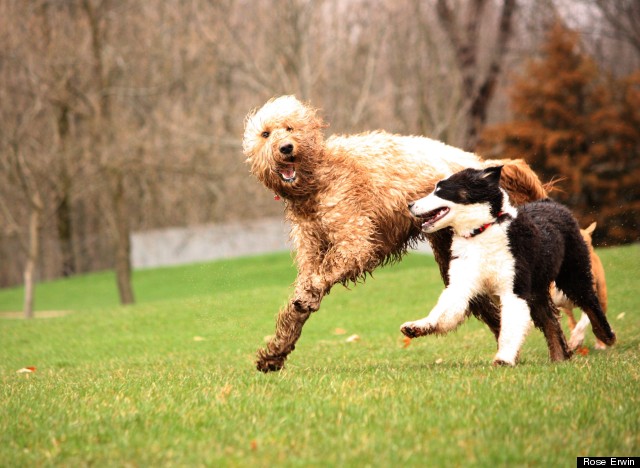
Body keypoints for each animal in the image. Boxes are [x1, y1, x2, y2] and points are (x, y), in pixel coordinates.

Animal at [242, 96, 548, 372]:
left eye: (290, 128)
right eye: (265, 134)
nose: (285, 147)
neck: (318, 177)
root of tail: (475, 162)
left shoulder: (354, 239)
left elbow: (322, 276)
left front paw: (308, 296)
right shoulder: (310, 245)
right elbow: (298, 305)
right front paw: (274, 354)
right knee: (479, 303)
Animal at [400, 165, 616, 366]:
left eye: (440, 190)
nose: (409, 204)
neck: (481, 231)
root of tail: (551, 203)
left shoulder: (514, 289)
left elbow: (510, 326)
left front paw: (503, 358)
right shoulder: (461, 284)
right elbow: (443, 311)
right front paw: (418, 327)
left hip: (573, 273)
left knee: (590, 304)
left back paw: (606, 336)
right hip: (538, 292)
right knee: (551, 322)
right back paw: (559, 357)